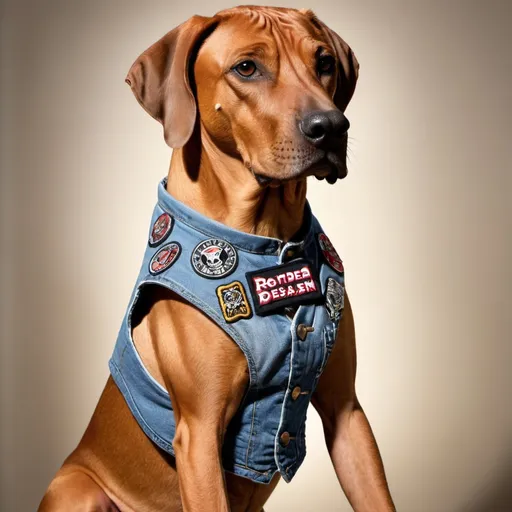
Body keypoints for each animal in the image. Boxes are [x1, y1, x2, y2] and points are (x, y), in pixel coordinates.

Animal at [39, 5, 396, 512]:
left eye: (324, 62)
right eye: (246, 68)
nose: (331, 126)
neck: (267, 243)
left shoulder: (347, 413)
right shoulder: (200, 435)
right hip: (79, 489)